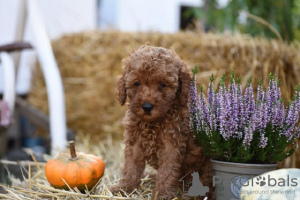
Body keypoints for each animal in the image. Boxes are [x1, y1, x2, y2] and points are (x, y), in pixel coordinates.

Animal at [111, 45, 214, 200]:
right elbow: (130, 167)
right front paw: (124, 188)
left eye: (163, 84)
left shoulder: (171, 144)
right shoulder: (134, 142)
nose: (147, 107)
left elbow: (167, 171)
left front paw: (162, 193)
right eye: (136, 83)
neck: (152, 123)